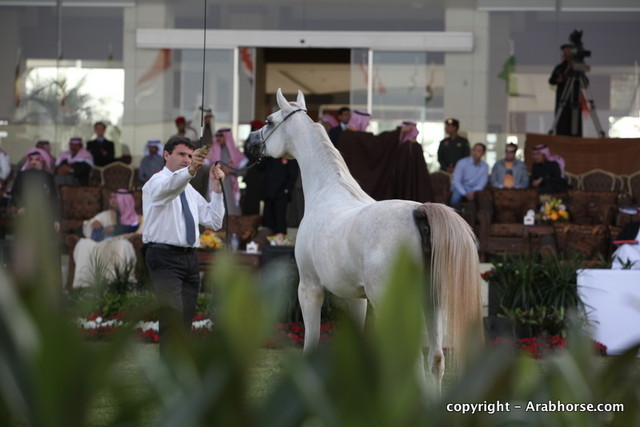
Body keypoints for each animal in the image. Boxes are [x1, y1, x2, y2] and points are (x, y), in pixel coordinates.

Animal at [246, 89, 482, 391]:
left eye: (269, 120)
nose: (250, 142)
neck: (328, 191)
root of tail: (420, 212)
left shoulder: (309, 288)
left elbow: (310, 346)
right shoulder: (356, 298)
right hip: (432, 302)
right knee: (436, 359)